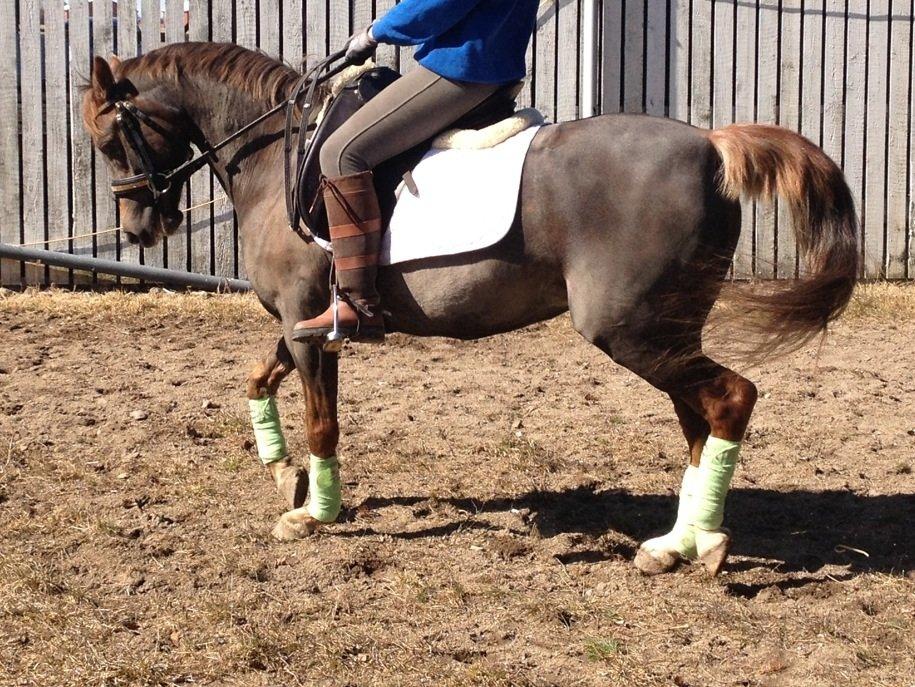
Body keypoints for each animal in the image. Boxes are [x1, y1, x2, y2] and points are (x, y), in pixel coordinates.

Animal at [81, 42, 859, 576]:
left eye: (112, 138)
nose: (139, 229)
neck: (280, 155)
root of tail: (710, 145)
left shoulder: (308, 324)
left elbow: (322, 421)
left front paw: (315, 513)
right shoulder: (301, 321)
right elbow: (255, 378)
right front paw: (281, 473)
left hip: (633, 331)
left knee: (729, 398)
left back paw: (703, 543)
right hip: (666, 330)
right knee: (697, 418)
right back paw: (675, 543)